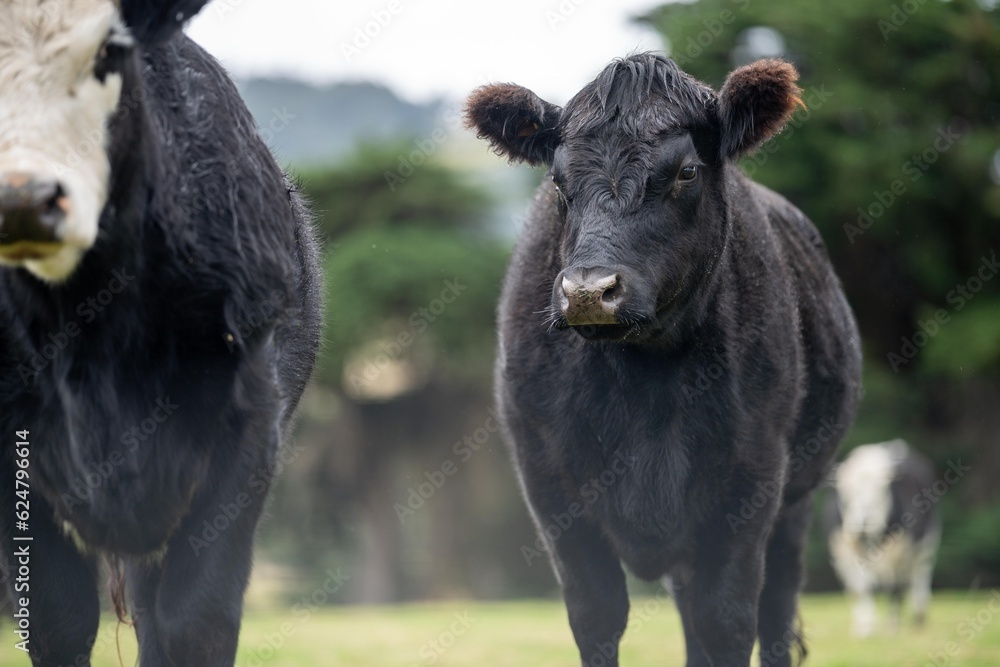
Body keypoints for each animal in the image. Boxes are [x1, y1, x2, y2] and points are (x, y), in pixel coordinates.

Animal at [464, 53, 864, 667]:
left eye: (686, 173)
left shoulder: (751, 481)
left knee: (774, 611)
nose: (588, 290)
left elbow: (727, 621)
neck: (645, 379)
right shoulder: (550, 487)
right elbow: (598, 615)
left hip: (797, 501)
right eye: (557, 179)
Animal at [824, 440, 940, 640]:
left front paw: (892, 627)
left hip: (927, 545)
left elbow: (895, 589)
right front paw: (865, 628)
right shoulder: (843, 552)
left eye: (880, 491)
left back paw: (918, 616)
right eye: (847, 492)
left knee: (919, 577)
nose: (863, 522)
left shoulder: (902, 550)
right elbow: (861, 589)